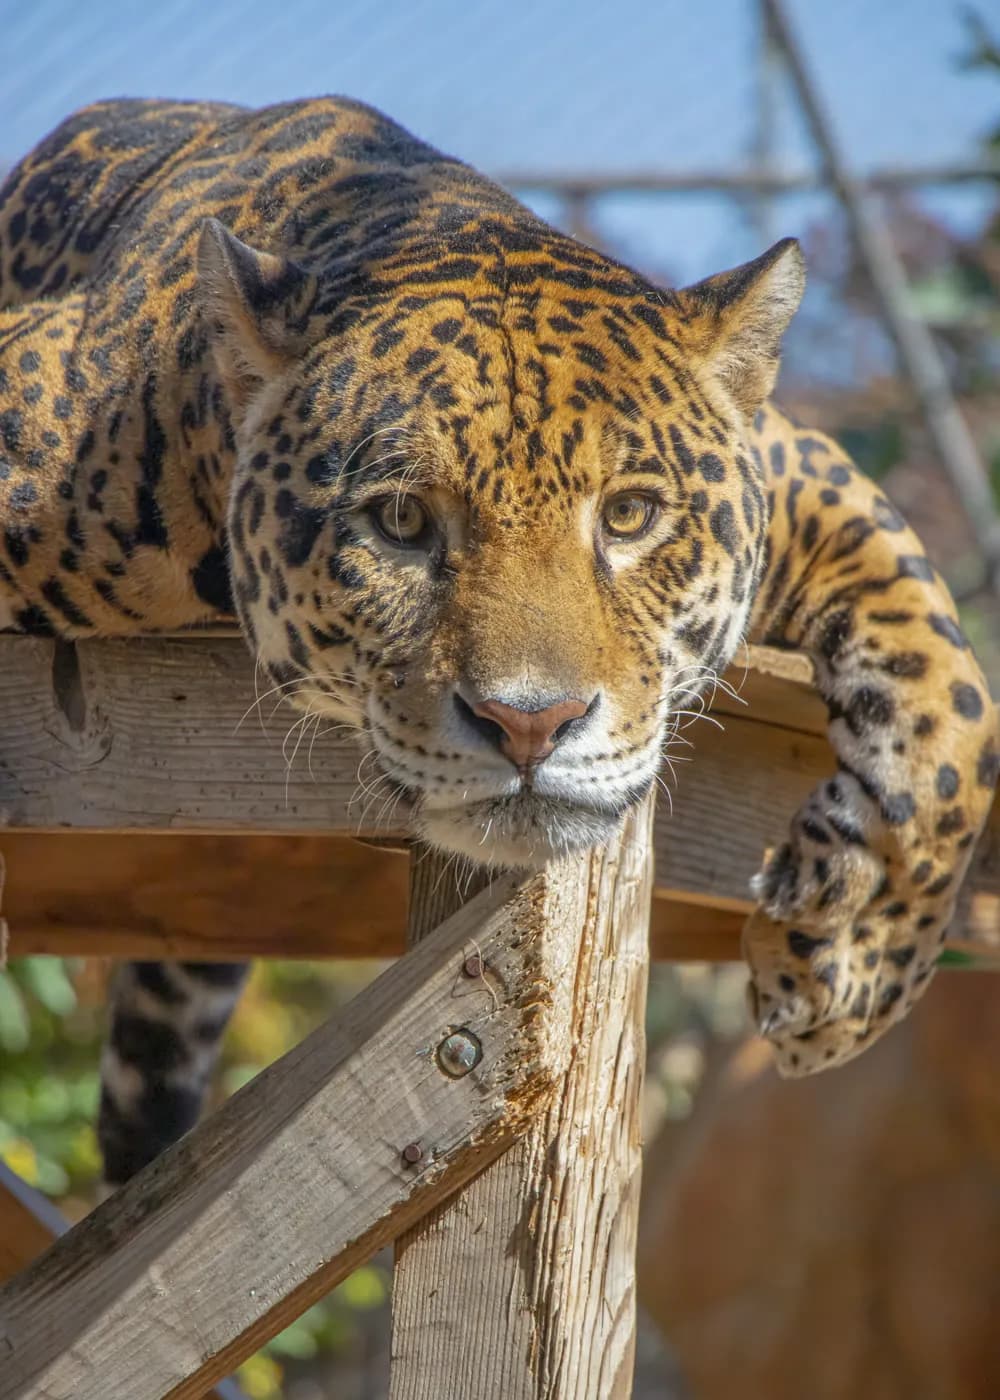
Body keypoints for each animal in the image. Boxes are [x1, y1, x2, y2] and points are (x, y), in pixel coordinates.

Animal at [0, 97, 995, 1189]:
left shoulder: (797, 457)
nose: (530, 724)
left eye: (630, 514)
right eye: (398, 520)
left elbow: (955, 699)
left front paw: (846, 955)